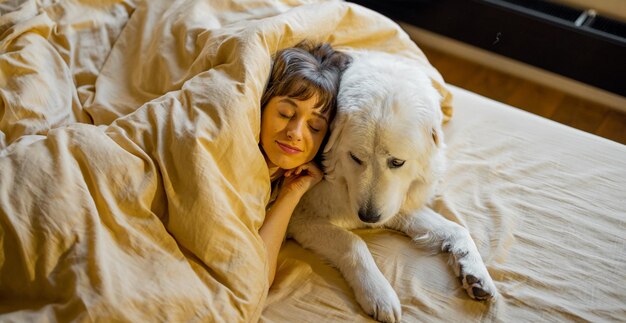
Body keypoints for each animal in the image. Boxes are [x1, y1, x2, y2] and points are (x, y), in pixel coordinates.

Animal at [286, 50, 494, 322]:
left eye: (397, 162)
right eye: (355, 158)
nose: (367, 217)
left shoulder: (392, 205)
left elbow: (456, 228)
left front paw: (474, 271)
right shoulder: (300, 216)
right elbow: (352, 242)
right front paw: (379, 293)